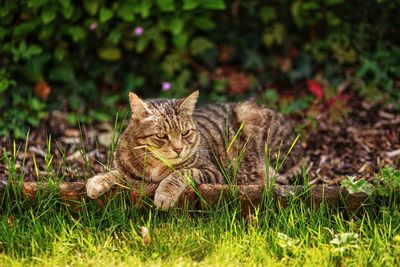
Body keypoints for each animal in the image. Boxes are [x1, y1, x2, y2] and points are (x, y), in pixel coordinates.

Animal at [85, 91, 304, 209]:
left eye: (185, 133)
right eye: (161, 136)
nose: (179, 148)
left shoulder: (213, 172)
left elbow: (180, 173)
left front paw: (164, 194)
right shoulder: (128, 171)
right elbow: (115, 173)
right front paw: (97, 181)